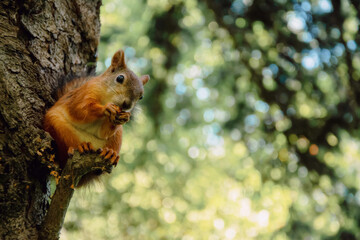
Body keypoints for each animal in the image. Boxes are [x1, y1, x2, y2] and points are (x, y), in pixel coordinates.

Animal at [44, 49, 150, 186]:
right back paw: (81, 146)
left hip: (116, 138)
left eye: (141, 96)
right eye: (120, 78)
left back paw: (110, 153)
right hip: (59, 127)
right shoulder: (84, 92)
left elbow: (103, 132)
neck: (107, 98)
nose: (127, 105)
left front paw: (124, 117)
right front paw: (106, 109)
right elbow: (81, 109)